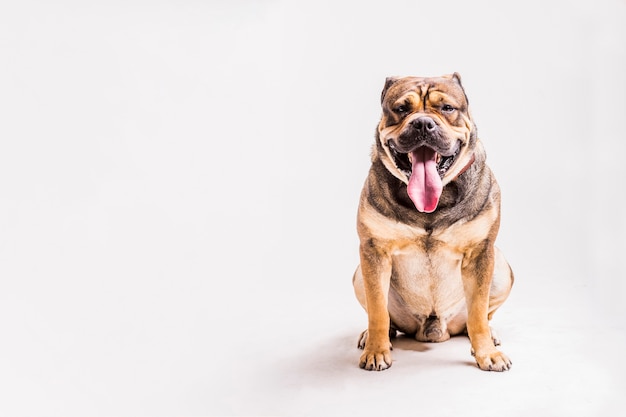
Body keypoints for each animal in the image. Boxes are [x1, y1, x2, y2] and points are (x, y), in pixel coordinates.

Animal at [352, 71, 512, 370]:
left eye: (447, 108)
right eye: (401, 109)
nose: (423, 123)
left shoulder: (481, 252)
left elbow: (478, 311)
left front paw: (486, 353)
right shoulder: (373, 251)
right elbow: (377, 309)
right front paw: (376, 350)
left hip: (502, 269)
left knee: (482, 314)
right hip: (359, 273)